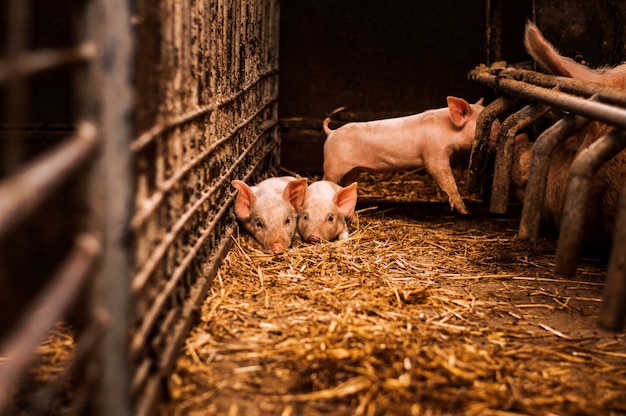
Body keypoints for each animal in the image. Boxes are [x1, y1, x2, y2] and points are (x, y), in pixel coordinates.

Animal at [320, 96, 480, 214]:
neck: (450, 129)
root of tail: (331, 132)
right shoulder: (435, 155)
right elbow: (447, 181)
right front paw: (466, 212)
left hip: (353, 171)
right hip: (333, 166)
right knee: (325, 181)